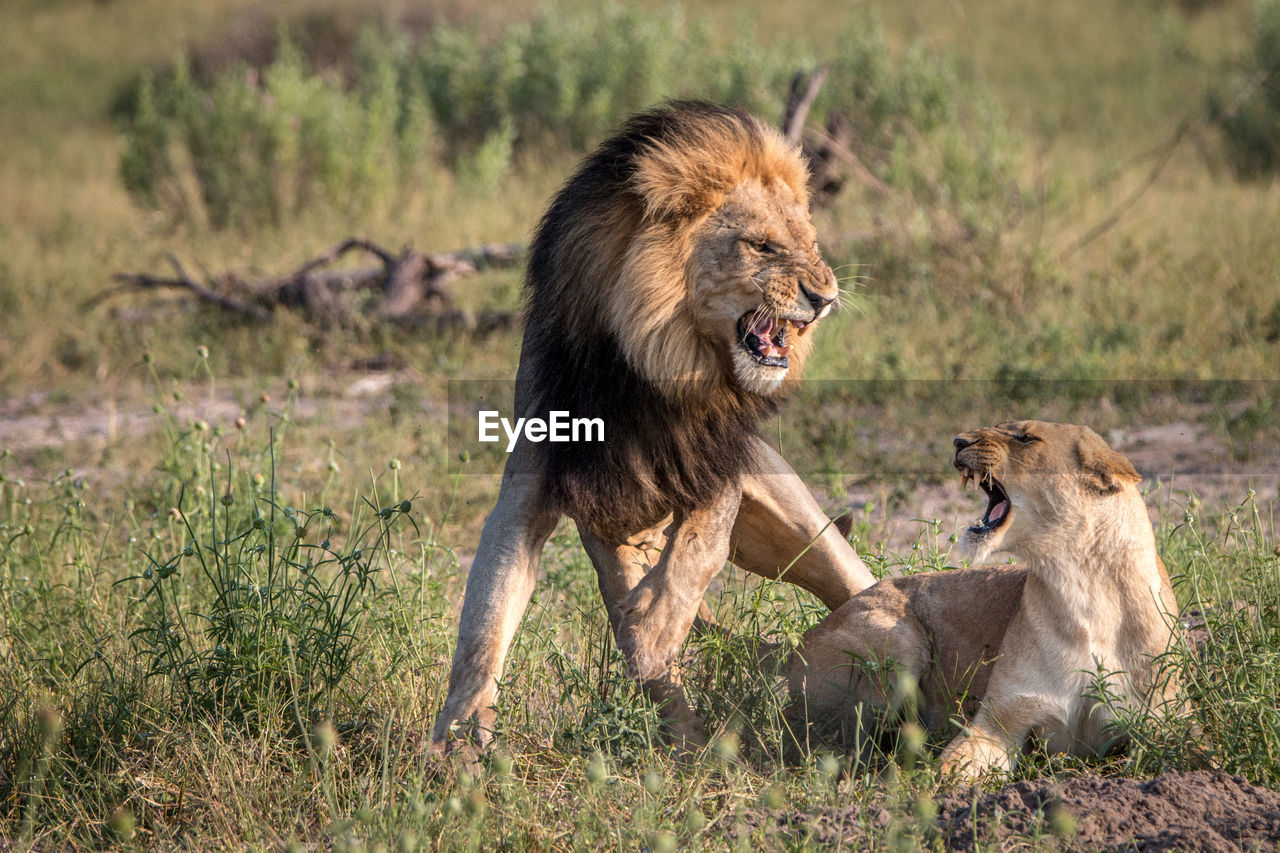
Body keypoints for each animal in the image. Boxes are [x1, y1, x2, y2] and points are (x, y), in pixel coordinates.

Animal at [435, 101, 875, 753]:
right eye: (762, 246)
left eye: (810, 244)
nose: (825, 298)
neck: (650, 366)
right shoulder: (555, 487)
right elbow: (486, 615)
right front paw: (459, 736)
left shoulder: (717, 457)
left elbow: (698, 549)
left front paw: (655, 632)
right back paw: (692, 740)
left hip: (800, 528)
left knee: (851, 580)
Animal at [788, 417, 1177, 778]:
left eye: (1026, 437)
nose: (959, 441)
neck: (1080, 585)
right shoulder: (999, 720)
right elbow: (948, 772)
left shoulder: (1162, 725)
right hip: (899, 640)